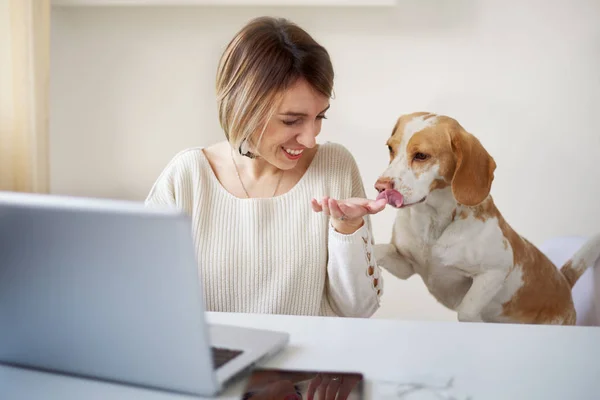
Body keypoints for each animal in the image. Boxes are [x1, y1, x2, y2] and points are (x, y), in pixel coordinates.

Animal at [376, 112, 600, 324]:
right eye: (390, 148)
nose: (380, 187)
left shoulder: (496, 270)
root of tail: (564, 281)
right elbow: (380, 250)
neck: (432, 221)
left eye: (421, 155)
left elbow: (466, 312)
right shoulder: (407, 266)